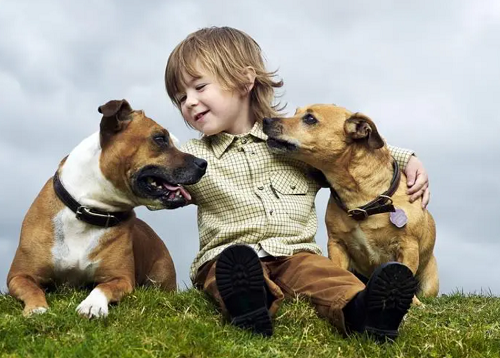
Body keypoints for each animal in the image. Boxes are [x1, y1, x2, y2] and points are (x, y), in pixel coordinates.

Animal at [7, 99, 207, 318]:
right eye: (160, 139)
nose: (203, 163)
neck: (88, 210)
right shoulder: (18, 275)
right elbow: (31, 288)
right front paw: (37, 308)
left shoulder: (121, 278)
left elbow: (102, 287)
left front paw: (92, 305)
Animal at [262, 105, 438, 304]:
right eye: (296, 112)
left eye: (310, 119)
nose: (265, 120)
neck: (360, 199)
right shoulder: (337, 244)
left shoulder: (408, 246)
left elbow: (406, 273)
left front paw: (412, 302)